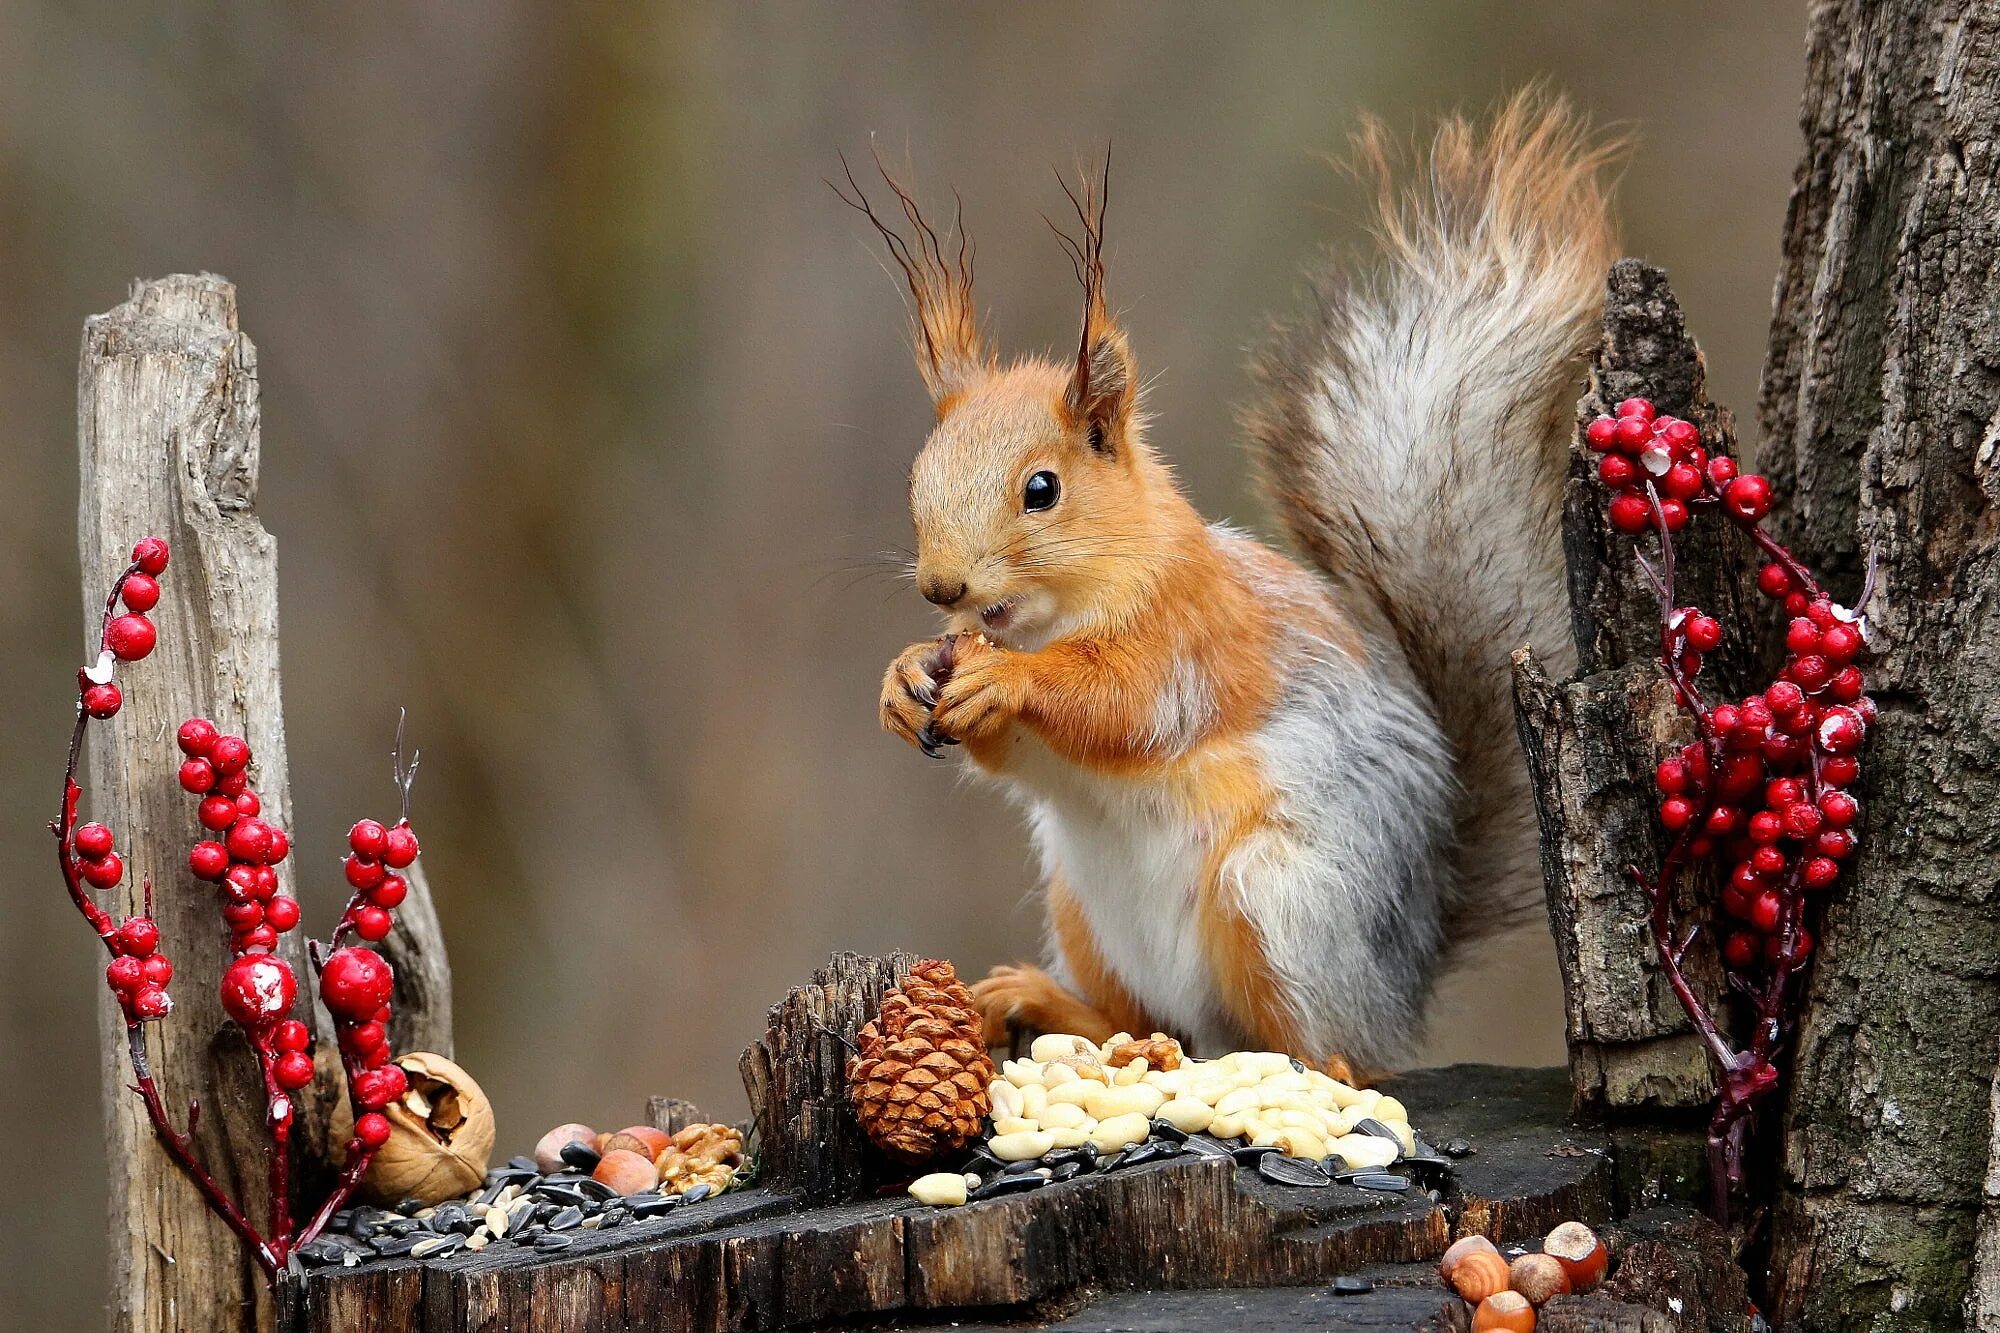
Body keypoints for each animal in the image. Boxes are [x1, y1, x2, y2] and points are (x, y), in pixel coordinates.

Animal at [836, 93, 1616, 1072]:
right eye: (918, 475)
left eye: (1041, 490)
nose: (941, 588)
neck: (1059, 615)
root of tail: (1399, 991)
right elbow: (1019, 751)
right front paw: (905, 676)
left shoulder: (1195, 632)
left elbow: (1125, 704)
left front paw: (1008, 679)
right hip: (1080, 905)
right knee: (1144, 1016)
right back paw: (1053, 1007)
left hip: (1276, 904)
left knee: (1324, 1049)